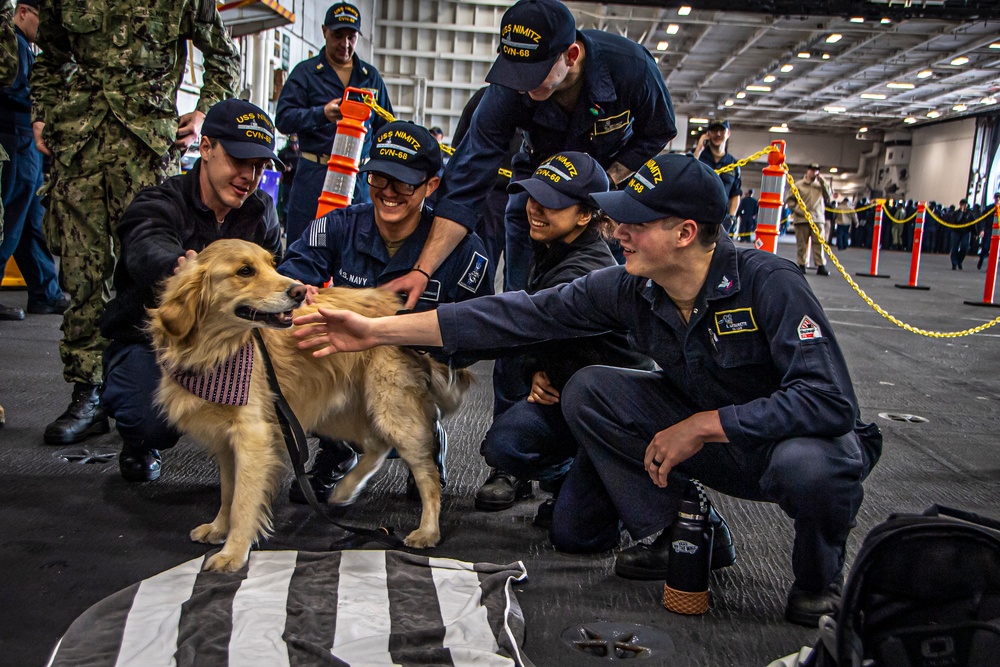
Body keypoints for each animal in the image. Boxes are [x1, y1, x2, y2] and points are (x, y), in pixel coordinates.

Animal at [148, 237, 472, 572]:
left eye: (272, 264)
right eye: (245, 271)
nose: (300, 291)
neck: (215, 353)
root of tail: (398, 310)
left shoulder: (253, 436)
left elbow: (243, 500)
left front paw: (233, 552)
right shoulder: (226, 441)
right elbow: (228, 491)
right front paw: (218, 528)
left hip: (391, 407)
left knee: (427, 474)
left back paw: (427, 530)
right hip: (337, 412)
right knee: (377, 446)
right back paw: (344, 490)